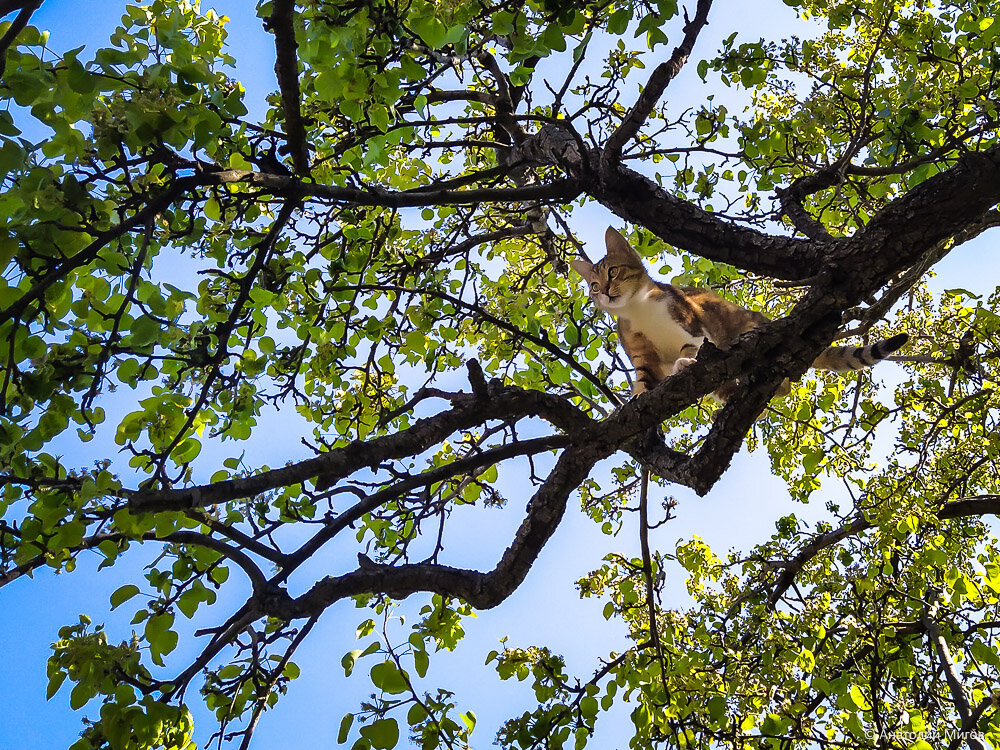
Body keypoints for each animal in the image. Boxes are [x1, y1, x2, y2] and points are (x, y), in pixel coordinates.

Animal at [572, 229, 908, 402]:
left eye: (613, 272)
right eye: (593, 286)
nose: (604, 292)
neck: (638, 310)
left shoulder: (692, 325)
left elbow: (691, 348)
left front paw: (684, 362)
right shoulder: (642, 355)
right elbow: (643, 381)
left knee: (783, 385)